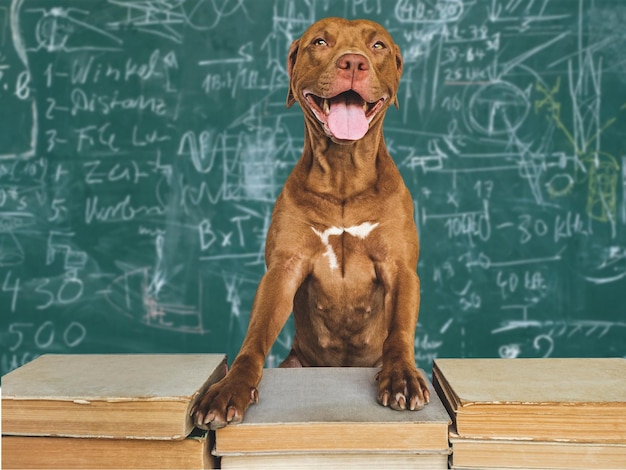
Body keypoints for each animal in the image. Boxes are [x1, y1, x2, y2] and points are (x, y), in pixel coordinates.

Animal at [194, 17, 428, 430]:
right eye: (320, 41)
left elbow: (399, 330)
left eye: (378, 45)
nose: (353, 62)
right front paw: (230, 387)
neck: (343, 175)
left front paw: (401, 375)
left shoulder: (400, 267)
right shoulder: (284, 269)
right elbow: (254, 339)